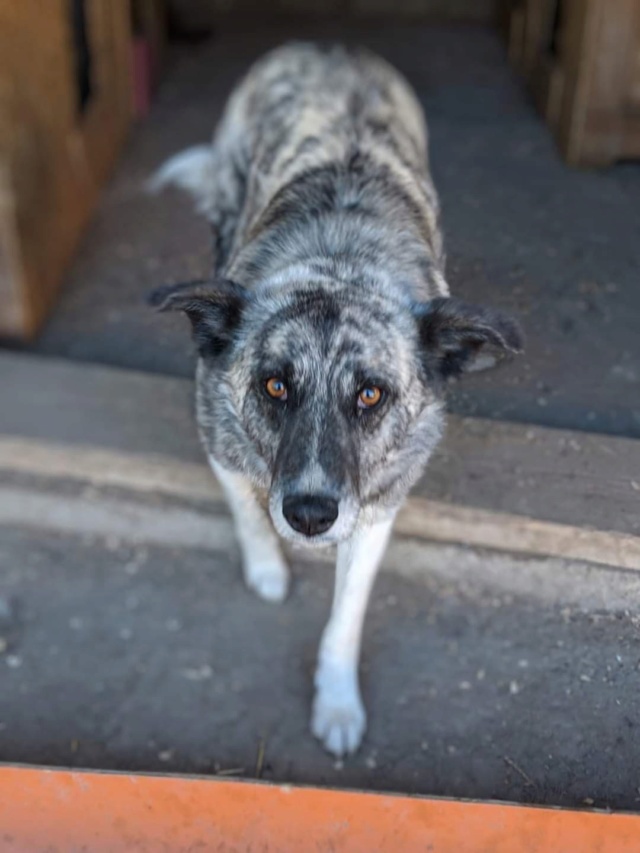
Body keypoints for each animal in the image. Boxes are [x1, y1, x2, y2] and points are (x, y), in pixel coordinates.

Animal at [151, 43, 524, 756]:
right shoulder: (219, 441)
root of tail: (330, 47)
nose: (309, 516)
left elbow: (344, 619)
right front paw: (267, 569)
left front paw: (338, 702)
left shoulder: (376, 513)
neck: (340, 260)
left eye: (371, 395)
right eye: (275, 385)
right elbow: (247, 513)